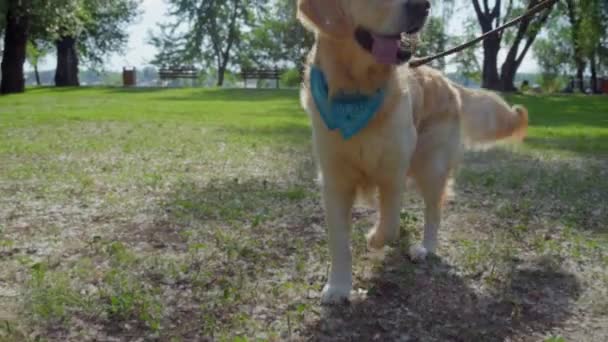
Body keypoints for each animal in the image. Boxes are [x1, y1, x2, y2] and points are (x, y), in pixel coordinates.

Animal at [296, 0, 528, 304]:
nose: (423, 6)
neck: (357, 90)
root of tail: (446, 80)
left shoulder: (392, 172)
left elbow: (389, 223)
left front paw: (374, 238)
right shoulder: (334, 180)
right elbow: (340, 242)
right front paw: (338, 287)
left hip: (431, 165)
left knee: (434, 212)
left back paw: (424, 248)